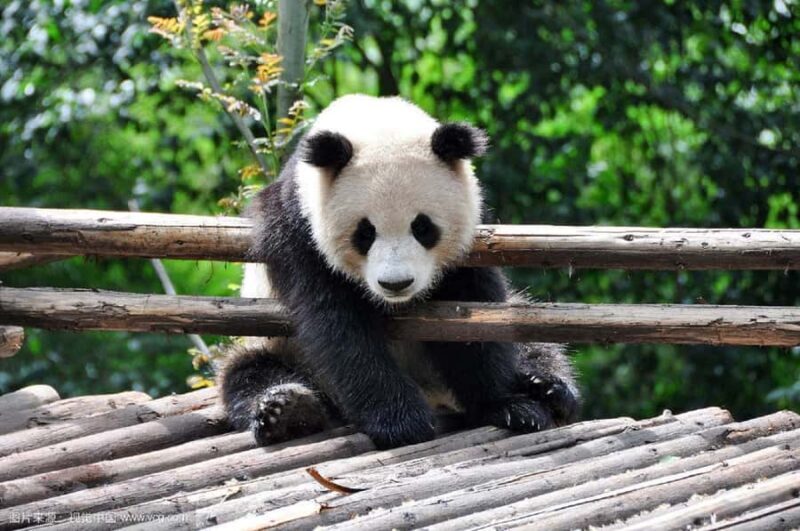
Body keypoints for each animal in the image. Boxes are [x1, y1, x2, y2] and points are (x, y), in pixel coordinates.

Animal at [219, 94, 579, 449]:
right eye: (365, 233)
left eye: (423, 227)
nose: (396, 283)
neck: (374, 120)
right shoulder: (299, 233)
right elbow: (339, 325)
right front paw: (401, 422)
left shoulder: (471, 233)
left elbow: (476, 318)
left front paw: (509, 406)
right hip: (276, 347)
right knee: (248, 373)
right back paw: (287, 410)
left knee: (531, 339)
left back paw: (548, 386)